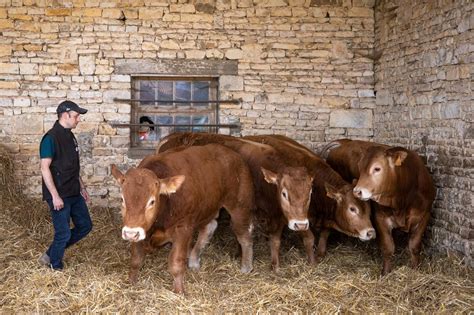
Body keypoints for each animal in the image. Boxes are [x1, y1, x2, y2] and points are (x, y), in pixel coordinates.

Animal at [111, 144, 254, 296]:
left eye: (152, 201)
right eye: (122, 199)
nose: (130, 233)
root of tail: (230, 152)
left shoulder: (183, 229)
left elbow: (176, 263)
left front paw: (179, 291)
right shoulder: (140, 230)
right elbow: (136, 260)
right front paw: (131, 282)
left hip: (239, 205)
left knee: (244, 235)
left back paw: (246, 267)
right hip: (208, 206)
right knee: (209, 228)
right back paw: (194, 261)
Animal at [157, 133, 316, 272]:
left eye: (310, 193)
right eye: (284, 193)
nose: (301, 224)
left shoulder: (277, 215)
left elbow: (276, 240)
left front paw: (275, 267)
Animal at [244, 136, 374, 262]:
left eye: (369, 210)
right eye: (352, 209)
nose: (370, 232)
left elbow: (325, 234)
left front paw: (320, 253)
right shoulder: (297, 218)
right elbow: (309, 238)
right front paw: (312, 261)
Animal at [322, 139, 436, 276]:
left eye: (377, 168)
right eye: (360, 168)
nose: (357, 191)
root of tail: (345, 141)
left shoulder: (424, 216)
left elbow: (414, 246)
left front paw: (415, 269)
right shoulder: (381, 217)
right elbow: (388, 247)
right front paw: (385, 273)